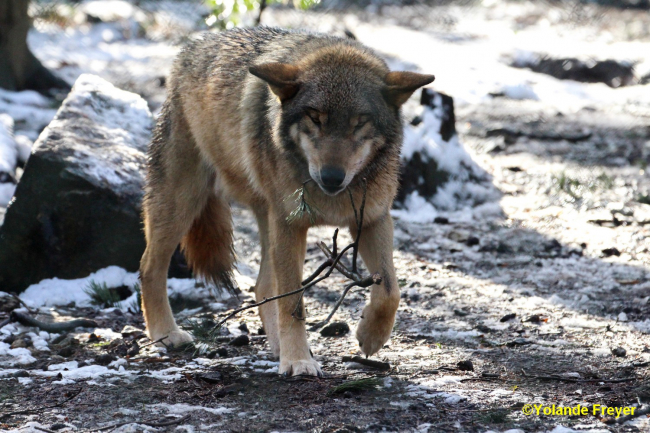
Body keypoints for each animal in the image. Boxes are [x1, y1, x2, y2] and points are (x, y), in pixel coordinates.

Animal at [139, 27, 432, 374]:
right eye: (315, 118)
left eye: (360, 122)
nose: (332, 177)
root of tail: (194, 47)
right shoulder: (292, 226)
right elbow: (294, 303)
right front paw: (298, 361)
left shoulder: (374, 219)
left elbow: (390, 291)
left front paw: (370, 337)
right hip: (183, 205)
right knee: (148, 267)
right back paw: (165, 334)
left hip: (266, 219)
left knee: (263, 286)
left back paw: (276, 346)